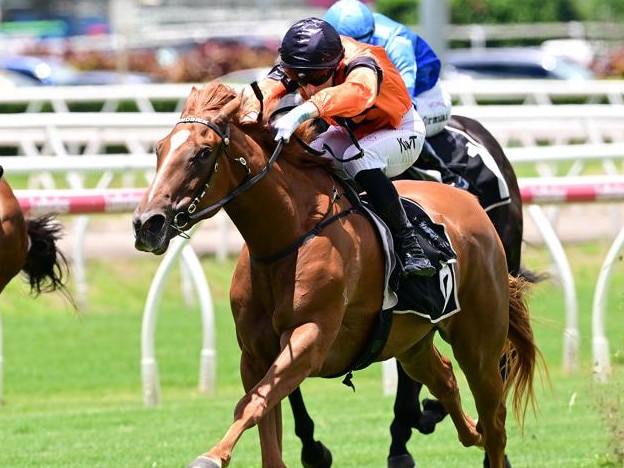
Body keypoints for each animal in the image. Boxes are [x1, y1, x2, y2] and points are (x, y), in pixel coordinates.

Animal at [133, 84, 540, 468]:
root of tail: (473, 207)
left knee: (496, 417)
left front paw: (212, 456)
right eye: (160, 148)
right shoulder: (255, 354)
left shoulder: (310, 340)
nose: (147, 223)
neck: (288, 235)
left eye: (203, 153)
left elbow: (251, 404)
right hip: (412, 343)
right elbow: (262, 415)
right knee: (447, 381)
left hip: (478, 342)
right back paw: (461, 428)